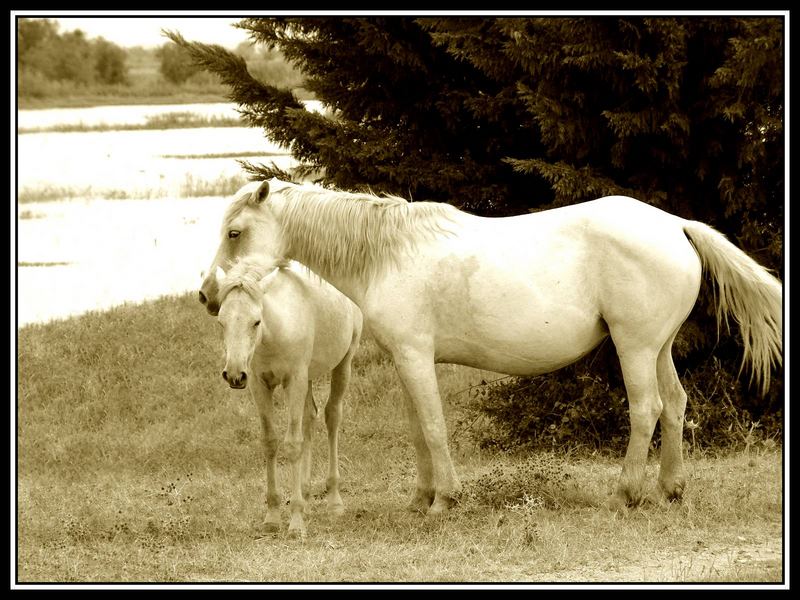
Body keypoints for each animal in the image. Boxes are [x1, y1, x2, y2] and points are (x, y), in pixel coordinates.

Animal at [214, 255, 360, 536]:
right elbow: (270, 442)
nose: (234, 374)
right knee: (310, 418)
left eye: (256, 321)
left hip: (342, 365)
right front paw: (272, 516)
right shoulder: (259, 384)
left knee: (332, 417)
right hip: (308, 378)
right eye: (221, 322)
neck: (276, 332)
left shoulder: (294, 381)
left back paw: (334, 501)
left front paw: (296, 523)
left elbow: (292, 445)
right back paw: (305, 491)